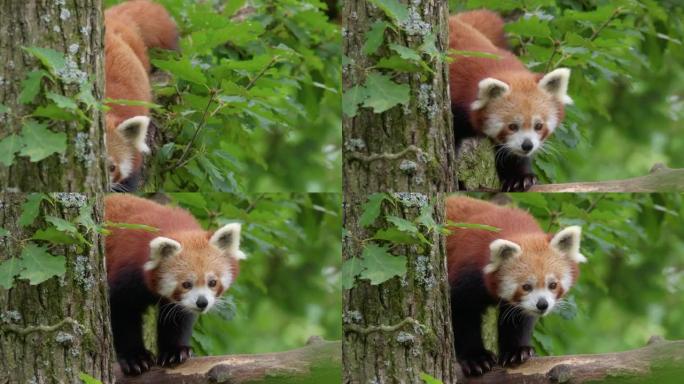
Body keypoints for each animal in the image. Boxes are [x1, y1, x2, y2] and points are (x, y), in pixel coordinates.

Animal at [104, 195, 246, 376]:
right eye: (186, 284)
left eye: (212, 282)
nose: (202, 302)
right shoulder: (127, 272)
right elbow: (122, 311)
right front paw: (135, 357)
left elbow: (178, 317)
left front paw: (174, 351)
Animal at [446, 196, 584, 376]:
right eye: (526, 286)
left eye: (553, 285)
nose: (542, 304)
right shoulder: (466, 272)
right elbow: (462, 314)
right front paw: (476, 358)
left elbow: (518, 318)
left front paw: (516, 351)